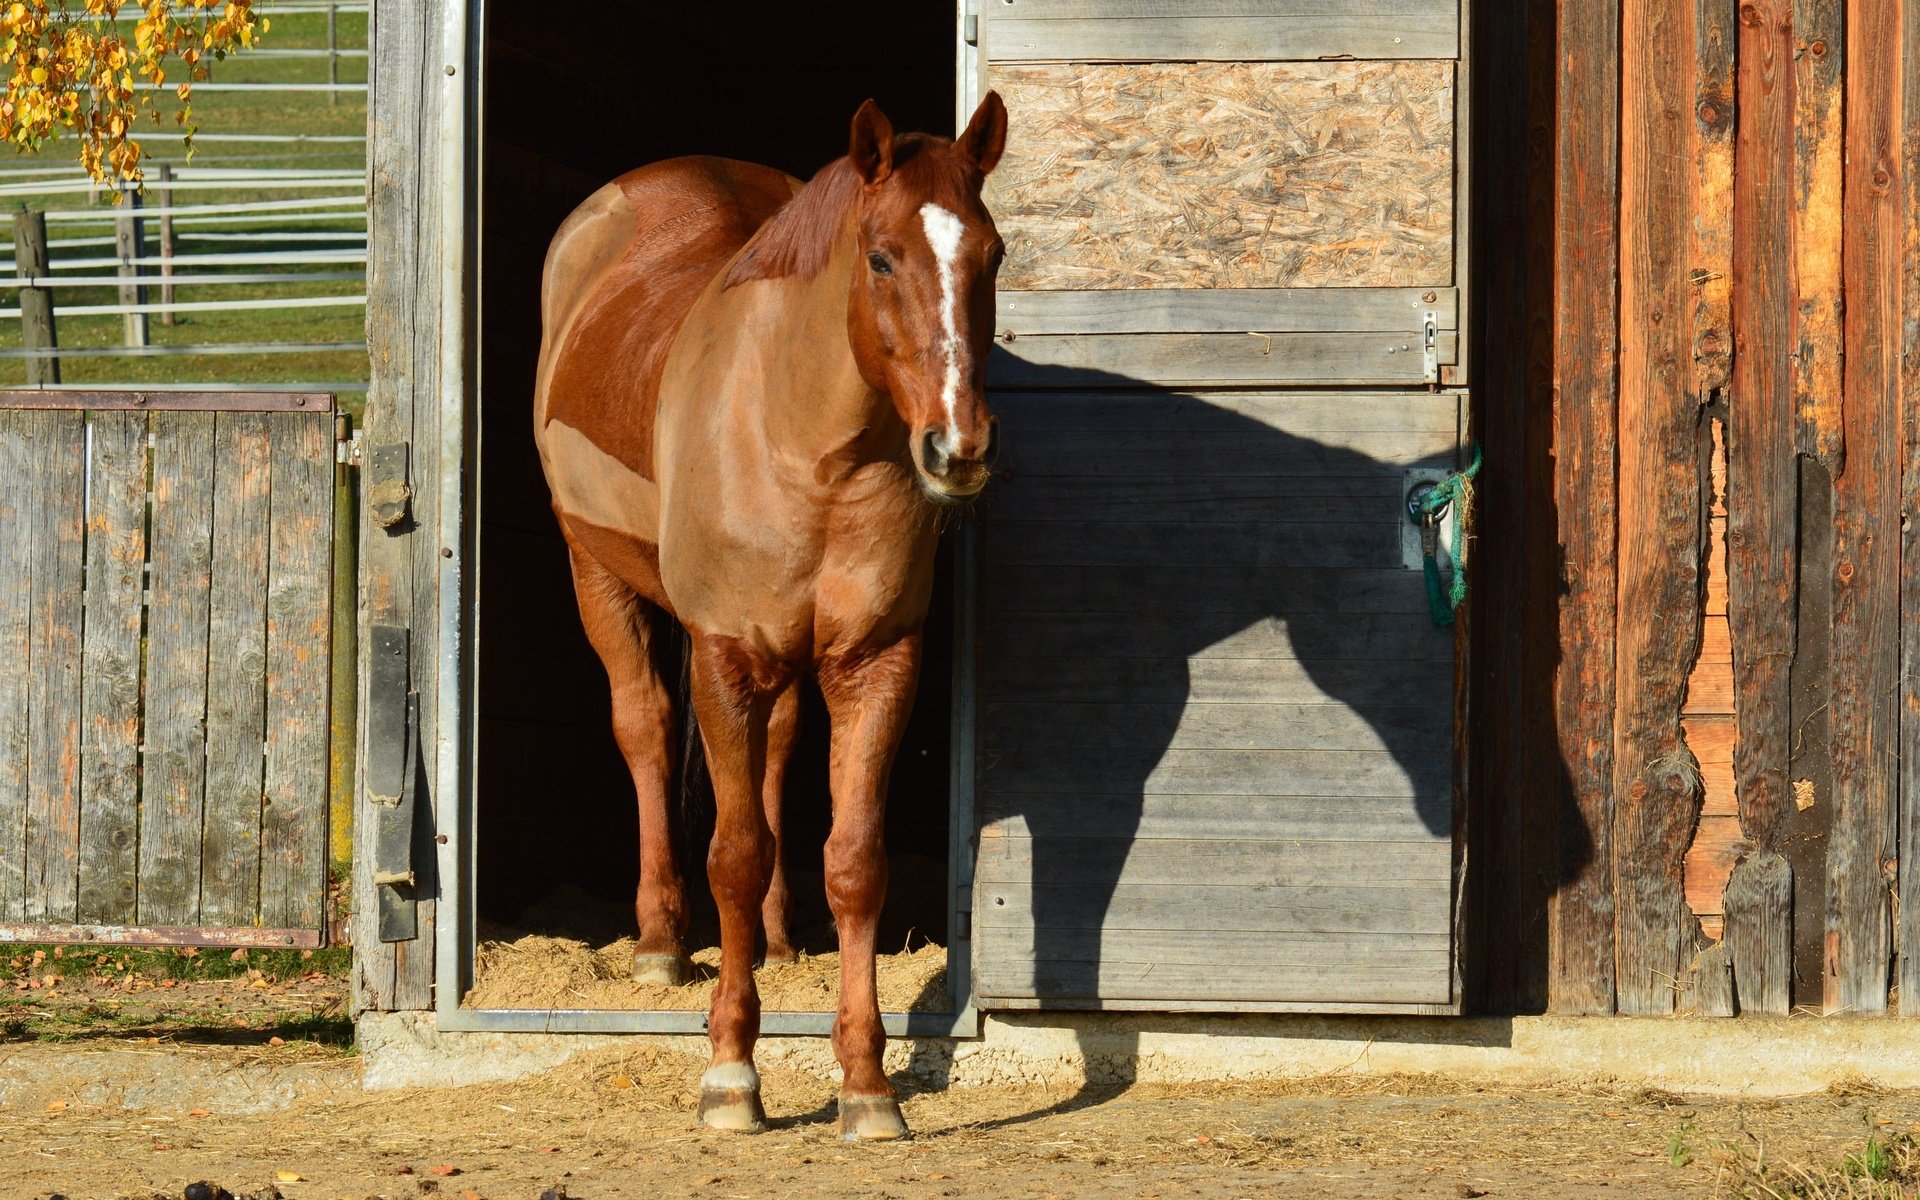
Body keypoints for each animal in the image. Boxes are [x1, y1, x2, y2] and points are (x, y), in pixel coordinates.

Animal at [526, 98, 1006, 1136]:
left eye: (992, 254)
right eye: (880, 257)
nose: (958, 447)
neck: (809, 447)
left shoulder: (876, 661)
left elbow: (854, 861)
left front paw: (866, 1085)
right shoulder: (725, 658)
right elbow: (734, 856)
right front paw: (731, 1073)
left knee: (782, 754)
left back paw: (782, 940)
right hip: (599, 576)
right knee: (645, 729)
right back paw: (660, 942)